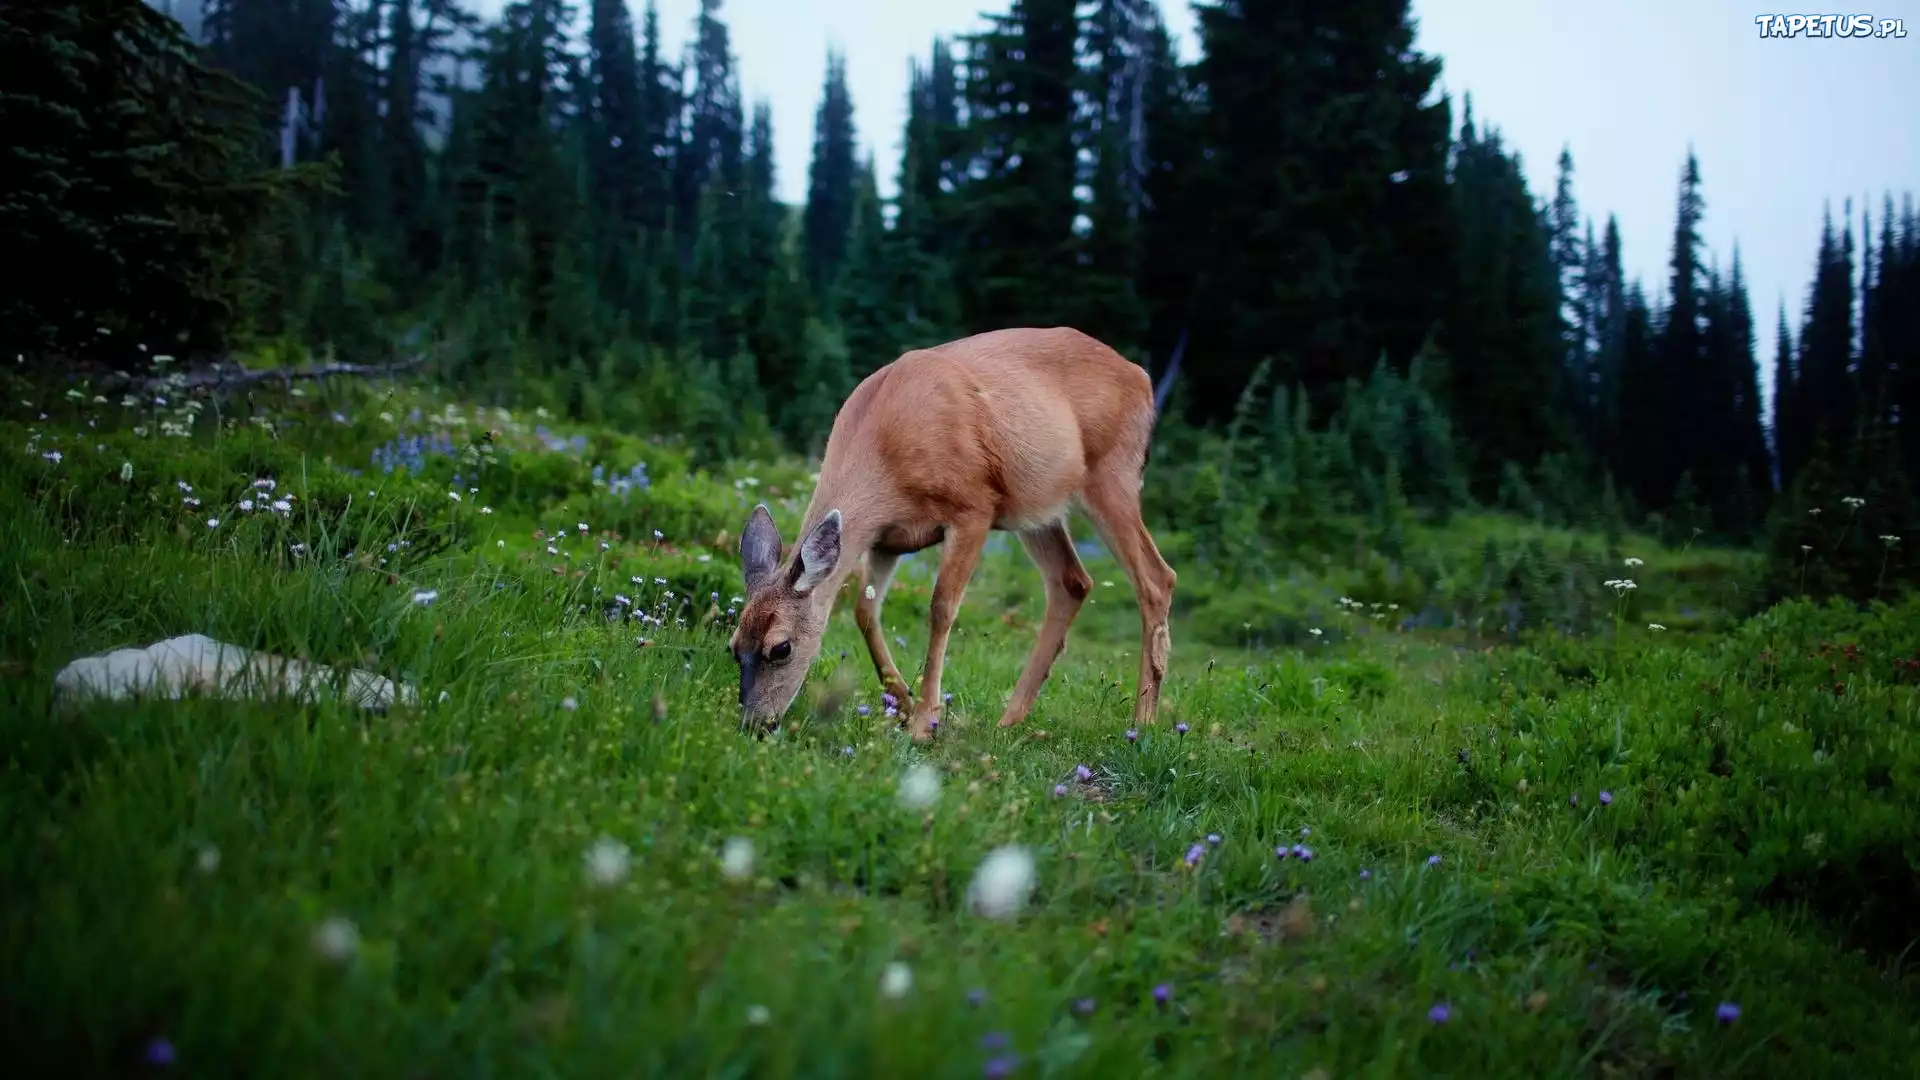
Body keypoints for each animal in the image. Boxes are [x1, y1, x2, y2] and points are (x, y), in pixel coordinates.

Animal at [729, 322, 1167, 734]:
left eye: (781, 648)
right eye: (734, 646)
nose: (753, 724)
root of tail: (1142, 377)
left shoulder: (973, 507)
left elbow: (941, 608)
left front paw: (925, 720)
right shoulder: (886, 539)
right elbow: (865, 611)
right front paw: (903, 702)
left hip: (1112, 474)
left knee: (1157, 578)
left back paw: (1142, 722)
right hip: (1038, 509)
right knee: (1072, 582)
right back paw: (1010, 719)